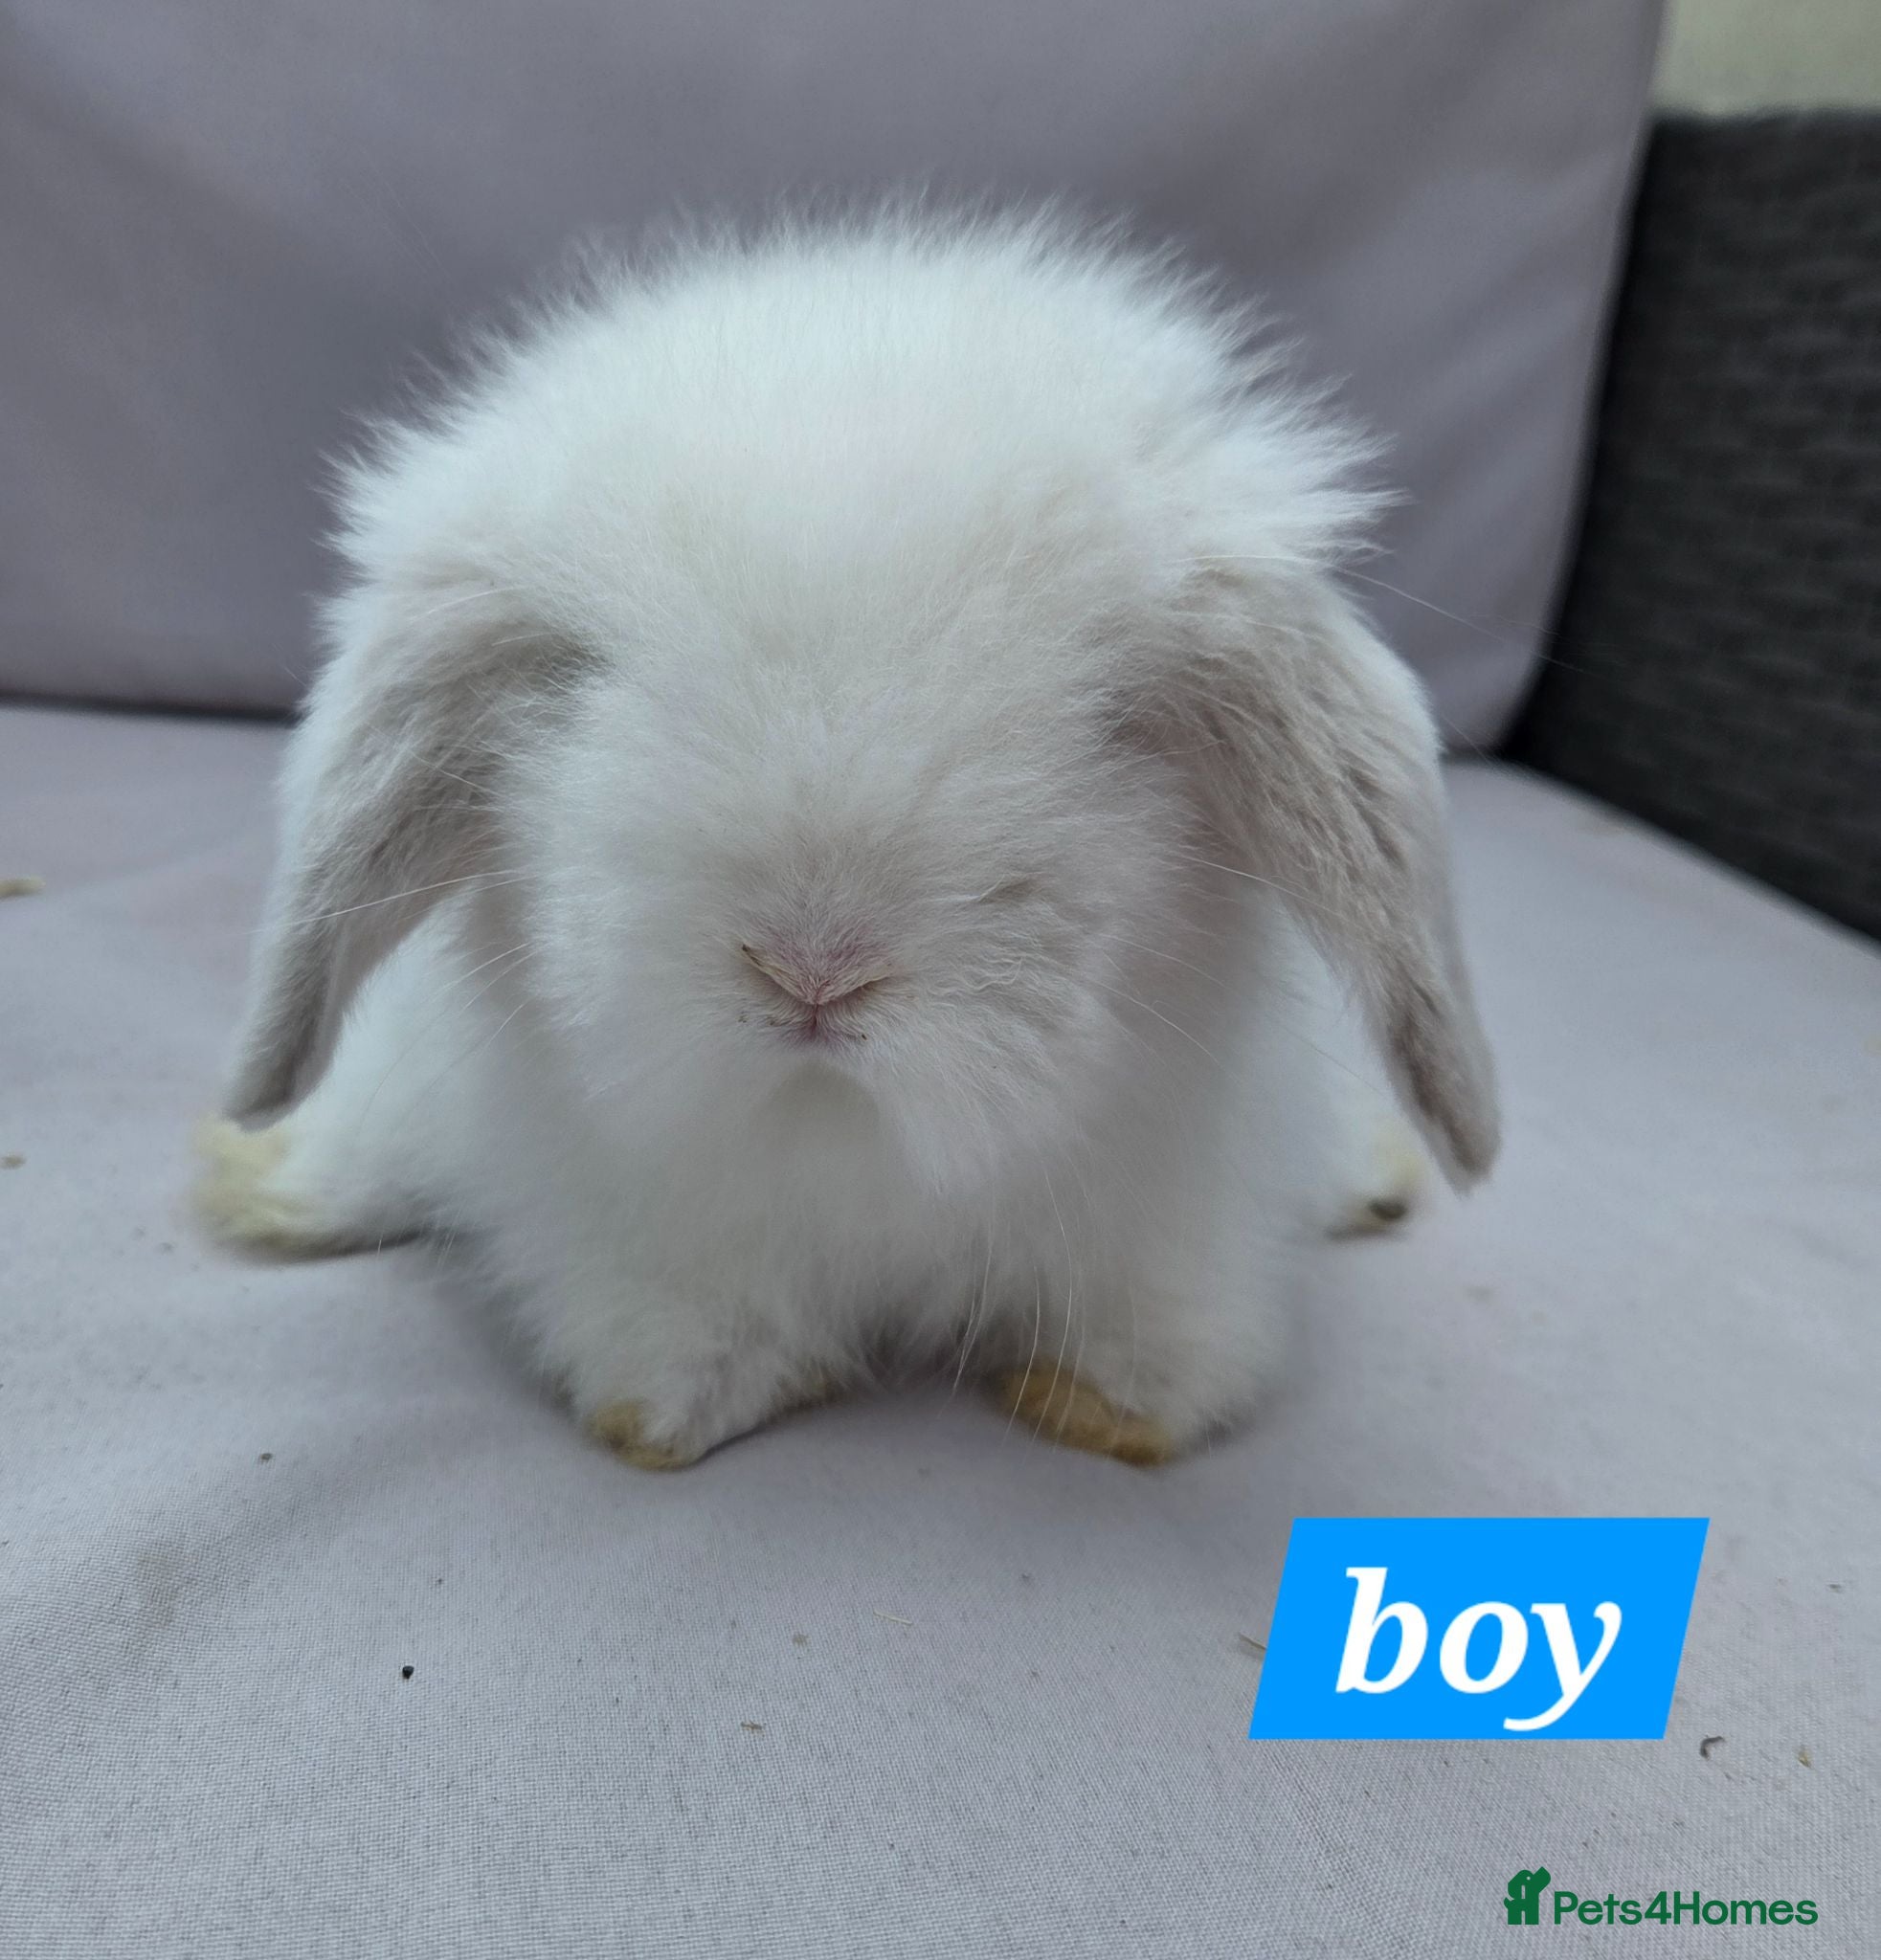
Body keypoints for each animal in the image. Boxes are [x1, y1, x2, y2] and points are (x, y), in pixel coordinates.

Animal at [196, 208, 1498, 1470]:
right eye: (577, 678)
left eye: (1115, 713)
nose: (812, 969)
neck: (852, 1140)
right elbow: (689, 1331)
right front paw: (674, 1409)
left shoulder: (1170, 1217)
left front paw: (1101, 1406)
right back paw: (250, 1174)